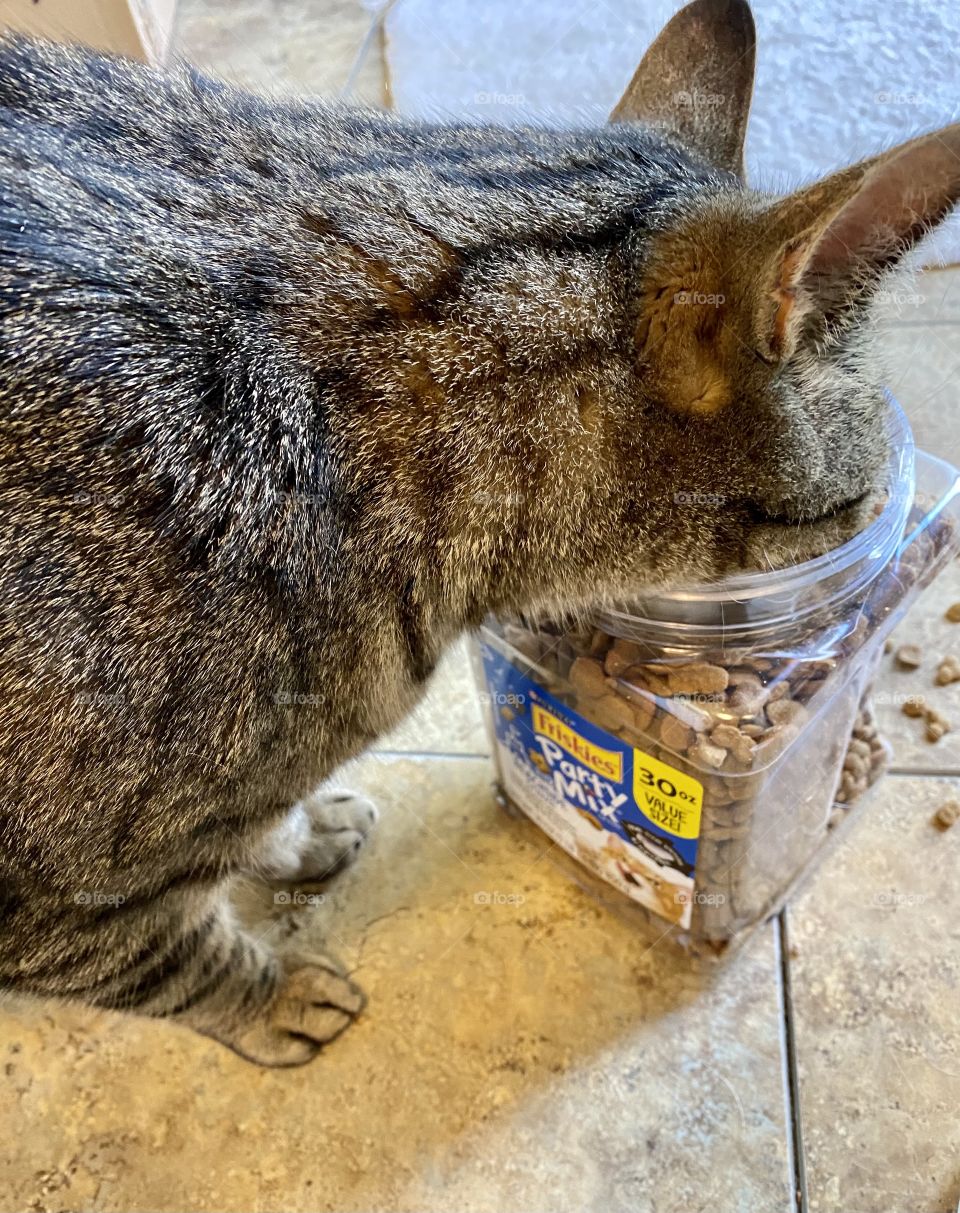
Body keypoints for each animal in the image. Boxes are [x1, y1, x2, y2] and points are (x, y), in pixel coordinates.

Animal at [0, 0, 956, 1062]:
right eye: (862, 498)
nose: (892, 523)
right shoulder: (50, 907)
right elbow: (172, 960)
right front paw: (272, 995)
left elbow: (248, 839)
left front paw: (297, 840)